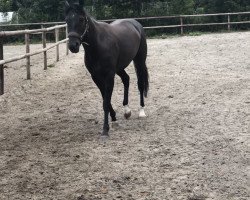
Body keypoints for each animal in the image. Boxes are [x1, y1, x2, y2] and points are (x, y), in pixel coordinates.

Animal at [65, 0, 149, 138]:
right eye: (66, 20)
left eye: (81, 19)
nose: (73, 46)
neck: (98, 44)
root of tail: (135, 24)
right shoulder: (96, 77)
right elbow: (106, 99)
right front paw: (114, 119)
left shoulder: (109, 75)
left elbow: (105, 102)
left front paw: (105, 130)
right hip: (119, 68)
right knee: (126, 79)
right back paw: (127, 110)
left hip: (139, 61)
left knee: (140, 83)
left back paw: (141, 111)